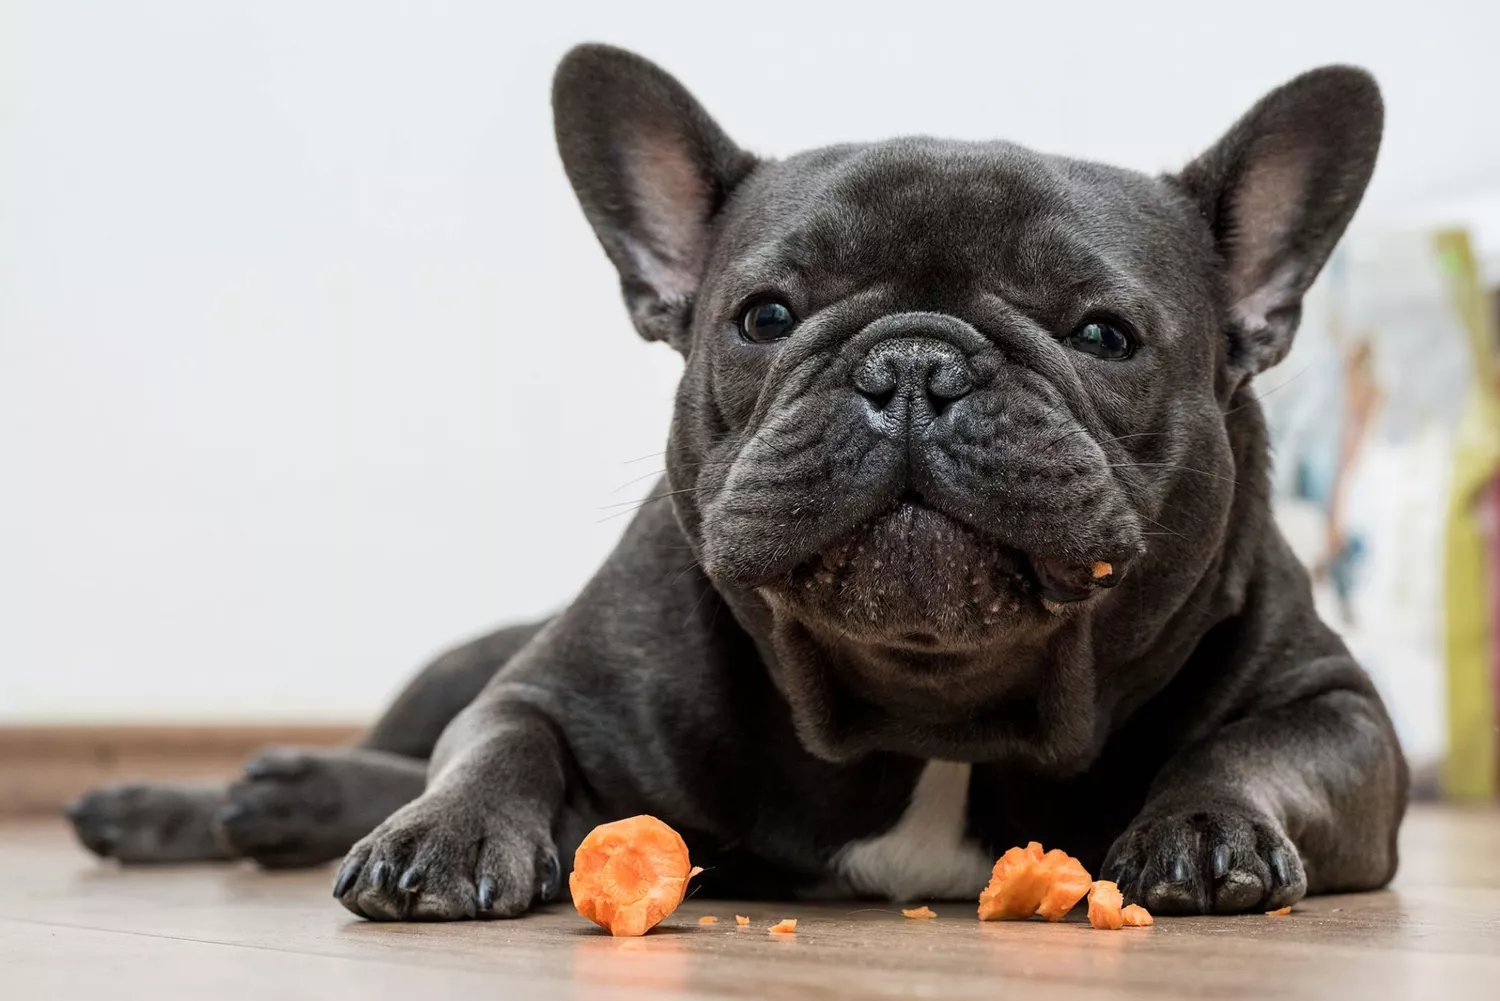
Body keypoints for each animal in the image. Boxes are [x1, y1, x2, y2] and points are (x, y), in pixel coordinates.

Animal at [70, 45, 1404, 924]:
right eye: (765, 316)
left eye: (1104, 335)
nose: (912, 363)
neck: (931, 712)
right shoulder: (552, 683)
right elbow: (495, 744)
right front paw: (442, 833)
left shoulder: (1342, 715)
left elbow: (1255, 748)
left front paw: (1204, 823)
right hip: (455, 660)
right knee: (409, 739)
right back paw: (201, 799)